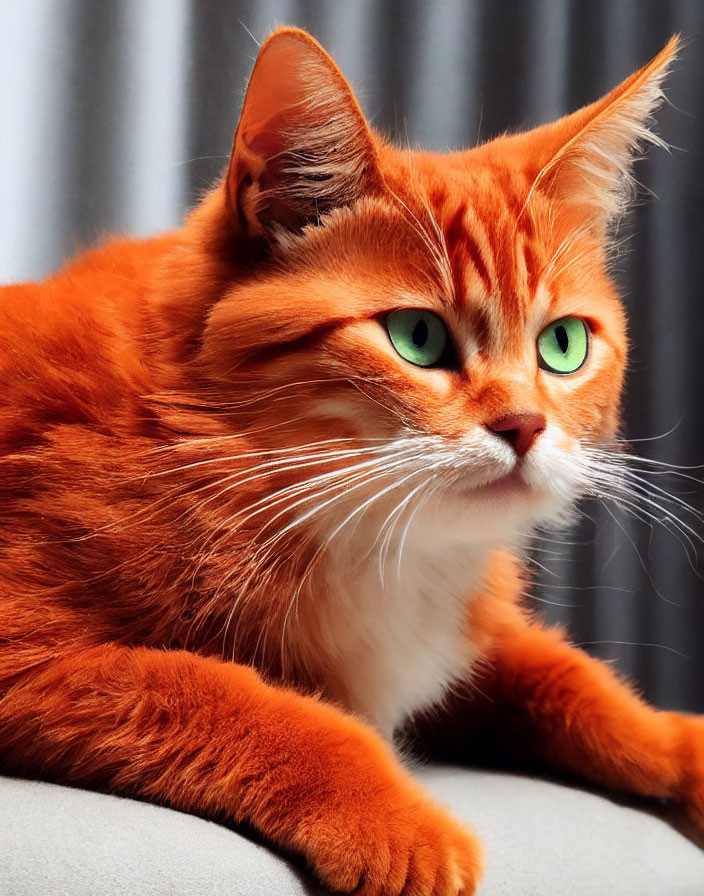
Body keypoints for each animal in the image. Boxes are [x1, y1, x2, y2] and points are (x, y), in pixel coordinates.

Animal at [1, 24, 704, 892]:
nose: (525, 426)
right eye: (418, 337)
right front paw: (396, 823)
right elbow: (241, 700)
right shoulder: (28, 650)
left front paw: (679, 743)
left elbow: (569, 678)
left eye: (564, 345)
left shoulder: (458, 627)